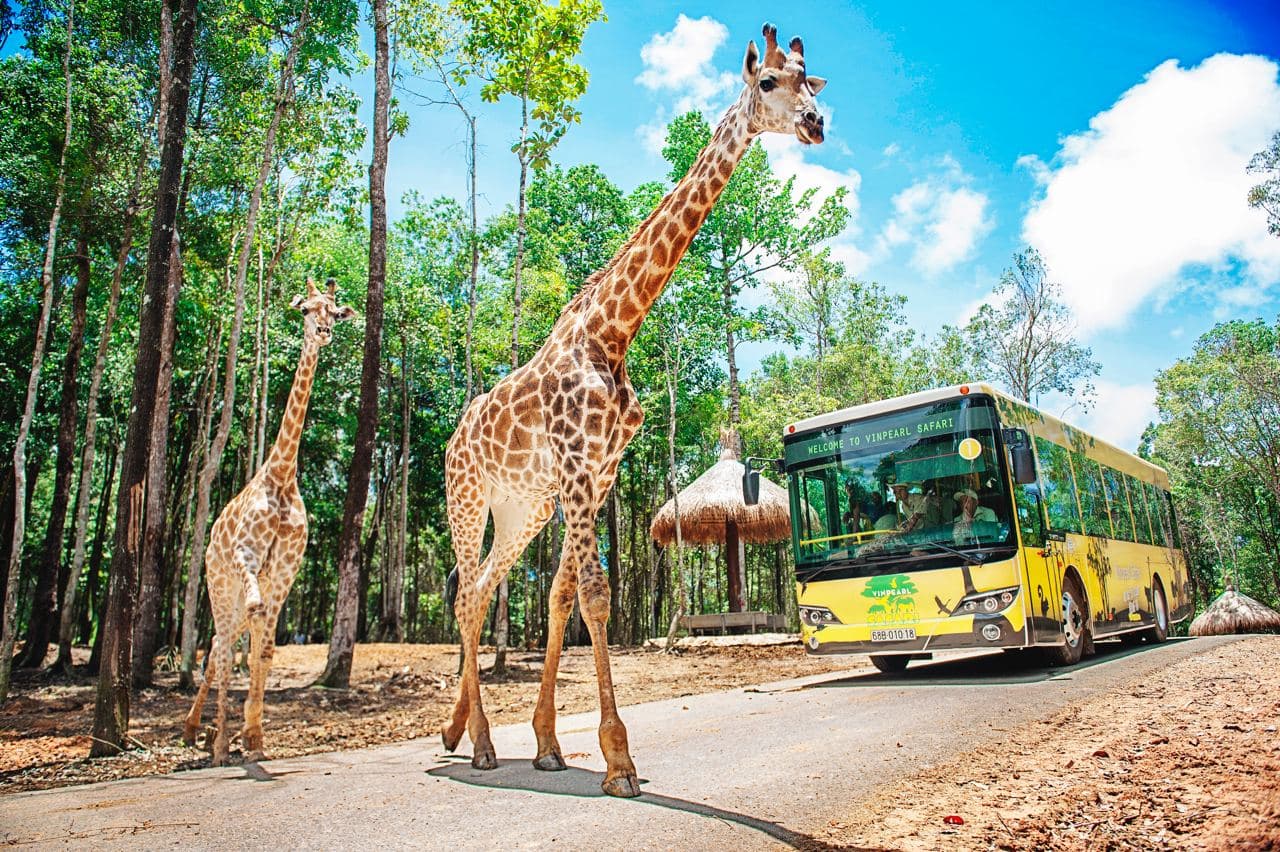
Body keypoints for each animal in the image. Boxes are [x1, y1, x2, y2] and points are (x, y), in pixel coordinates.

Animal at [184, 275, 355, 757]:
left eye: (335, 312)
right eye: (305, 310)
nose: (323, 332)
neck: (281, 475)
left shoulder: (285, 571)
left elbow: (265, 650)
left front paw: (255, 737)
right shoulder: (247, 555)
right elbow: (248, 631)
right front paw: (232, 738)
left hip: (234, 594)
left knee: (221, 643)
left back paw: (200, 731)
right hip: (218, 583)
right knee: (221, 646)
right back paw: (209, 738)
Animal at [445, 24, 824, 798]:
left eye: (813, 78)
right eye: (768, 82)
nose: (816, 124)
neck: (613, 331)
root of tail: (449, 442)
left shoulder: (596, 472)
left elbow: (562, 595)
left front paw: (551, 744)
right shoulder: (576, 464)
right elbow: (595, 593)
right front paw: (618, 760)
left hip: (522, 509)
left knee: (485, 590)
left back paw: (461, 734)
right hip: (467, 500)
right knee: (466, 594)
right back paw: (481, 747)